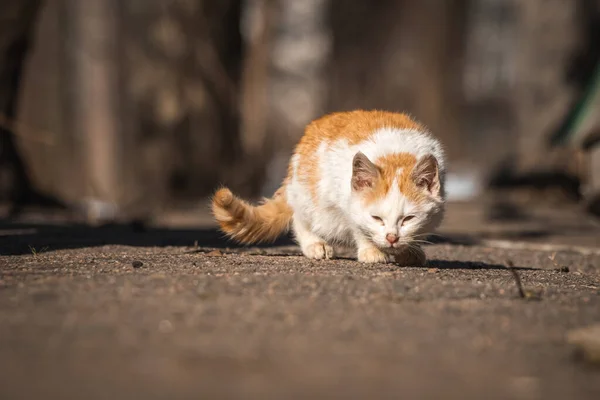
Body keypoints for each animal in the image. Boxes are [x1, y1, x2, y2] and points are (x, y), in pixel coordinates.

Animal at [212, 110, 446, 266]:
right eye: (376, 218)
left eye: (408, 219)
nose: (392, 238)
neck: (395, 155)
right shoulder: (342, 199)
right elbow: (357, 226)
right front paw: (371, 250)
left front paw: (410, 251)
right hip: (310, 196)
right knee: (299, 218)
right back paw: (314, 244)